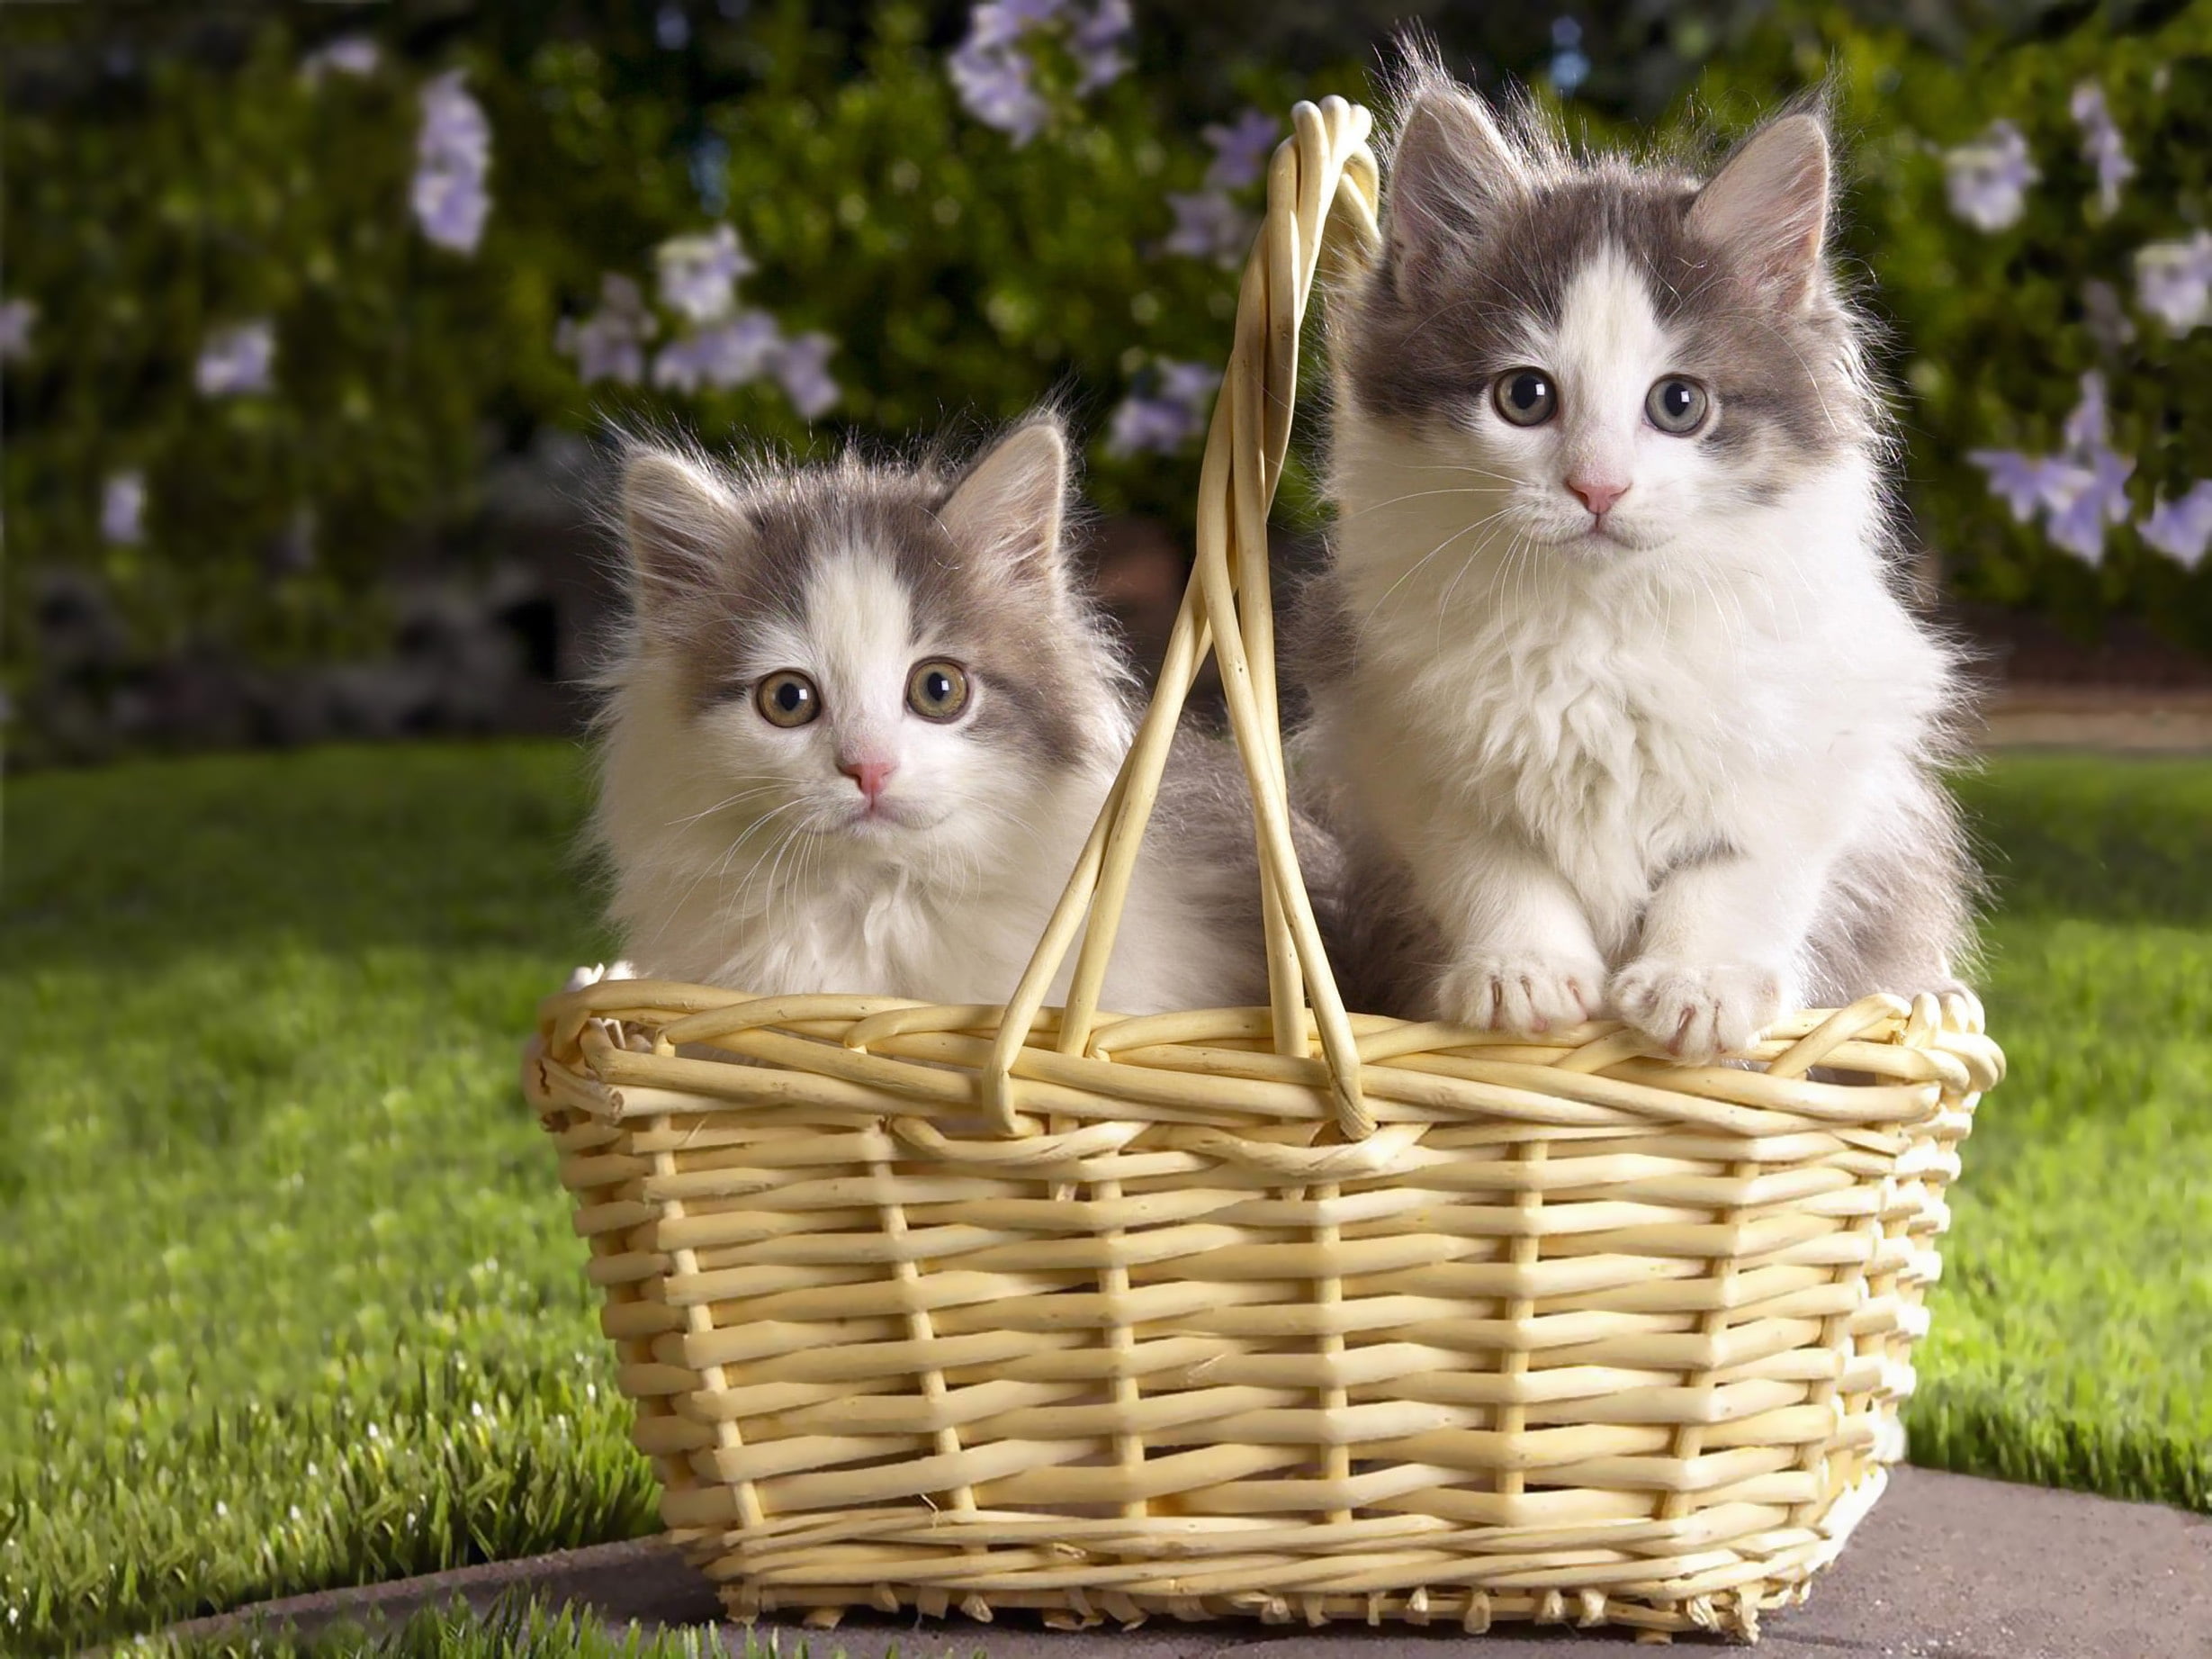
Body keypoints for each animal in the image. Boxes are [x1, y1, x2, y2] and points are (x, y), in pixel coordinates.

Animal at [1291, 68, 1973, 1066]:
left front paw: (1699, 985)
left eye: (1678, 404)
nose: (1598, 487)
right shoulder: (1408, 744)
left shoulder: (1819, 748)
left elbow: (1736, 869)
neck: (1596, 623)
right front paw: (1523, 973)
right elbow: (1493, 863)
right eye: (1524, 395)